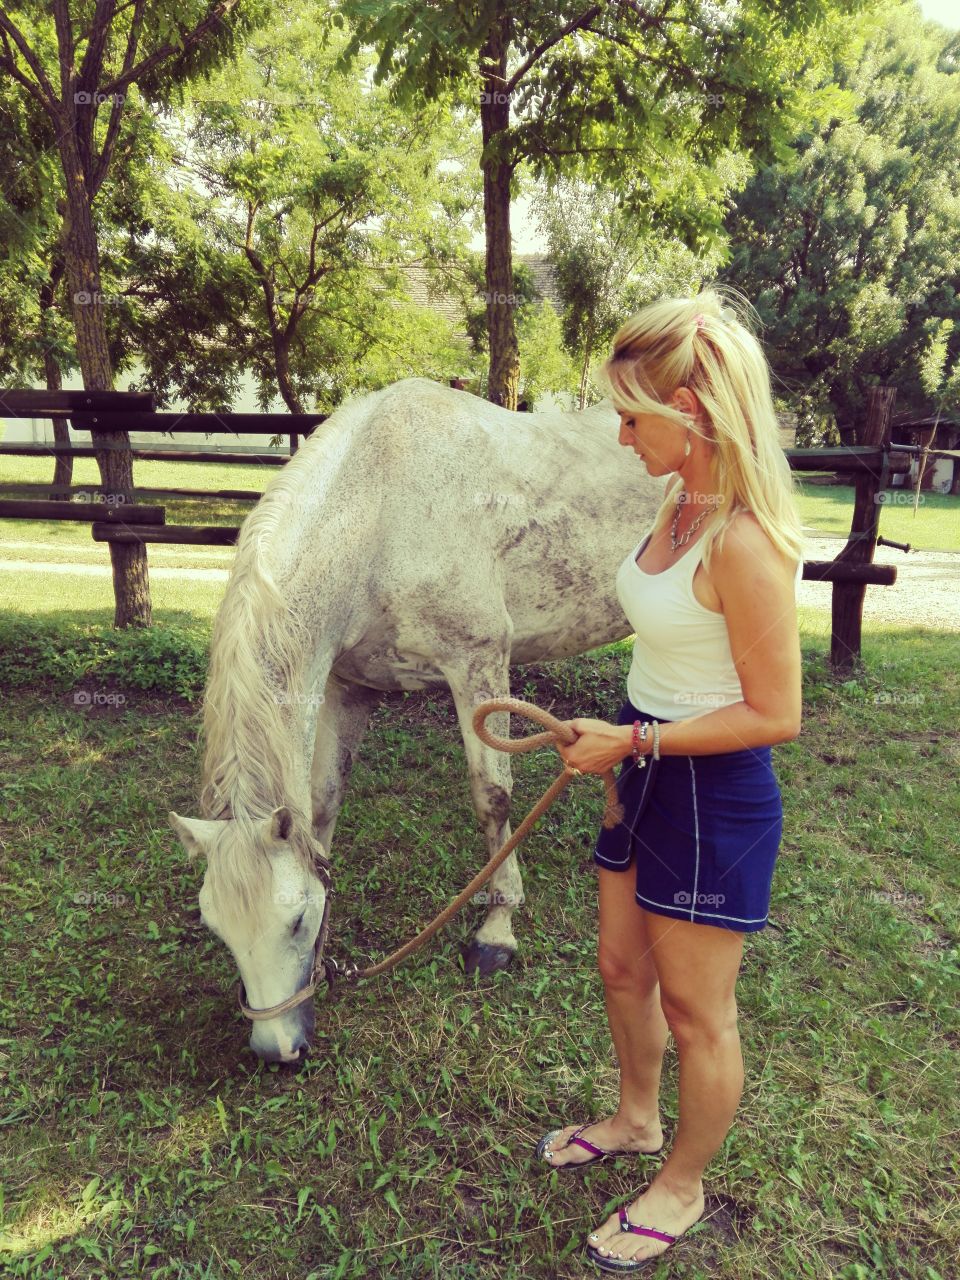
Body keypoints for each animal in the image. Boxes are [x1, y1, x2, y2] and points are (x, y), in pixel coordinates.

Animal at [169, 376, 665, 1063]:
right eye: (216, 926)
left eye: (296, 918)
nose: (277, 1050)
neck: (380, 516)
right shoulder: (348, 686)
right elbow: (324, 802)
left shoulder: (478, 665)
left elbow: (493, 798)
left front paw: (496, 930)